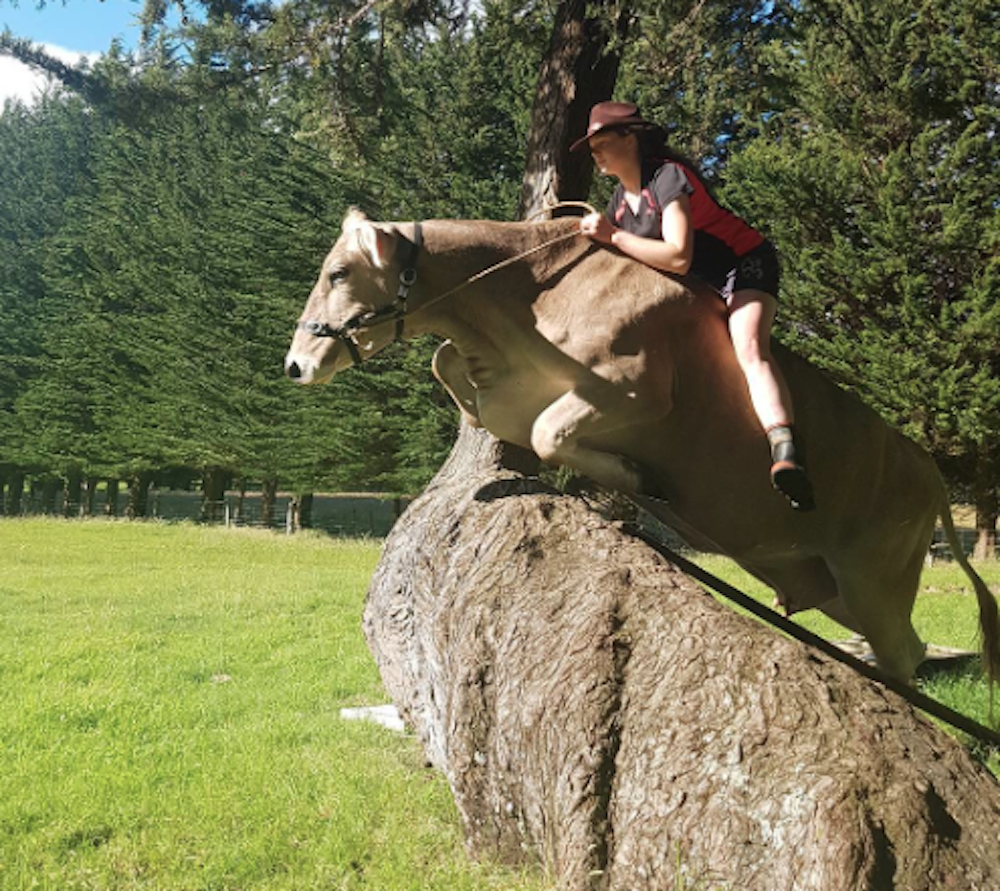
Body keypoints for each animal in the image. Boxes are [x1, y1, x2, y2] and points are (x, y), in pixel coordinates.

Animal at [286, 213, 996, 688]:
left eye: (339, 272)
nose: (295, 365)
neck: (527, 302)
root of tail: (925, 467)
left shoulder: (635, 388)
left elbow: (550, 431)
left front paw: (635, 482)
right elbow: (451, 370)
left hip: (876, 578)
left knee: (904, 657)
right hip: (837, 585)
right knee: (905, 648)